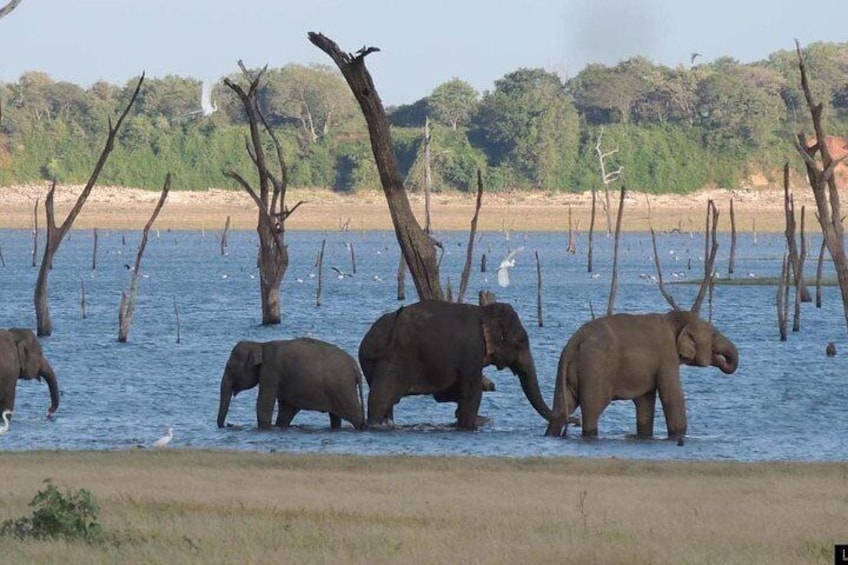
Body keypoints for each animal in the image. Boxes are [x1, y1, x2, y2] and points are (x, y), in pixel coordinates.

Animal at [215, 338, 364, 430]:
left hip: (343, 388)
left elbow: (264, 403)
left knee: (355, 414)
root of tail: (355, 366)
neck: (260, 345)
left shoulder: (270, 372)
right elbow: (286, 409)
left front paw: (264, 427)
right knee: (335, 416)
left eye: (229, 367)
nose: (228, 425)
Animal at [356, 300, 548, 428]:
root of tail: (369, 341)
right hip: (392, 360)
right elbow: (471, 393)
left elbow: (446, 393)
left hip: (370, 364)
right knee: (381, 398)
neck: (483, 311)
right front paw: (470, 423)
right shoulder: (473, 351)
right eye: (521, 340)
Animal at [548, 308, 740, 440]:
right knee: (592, 408)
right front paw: (678, 437)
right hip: (595, 368)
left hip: (567, 371)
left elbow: (645, 400)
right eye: (714, 335)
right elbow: (672, 396)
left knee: (562, 408)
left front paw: (645, 436)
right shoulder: (666, 355)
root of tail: (574, 341)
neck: (674, 318)